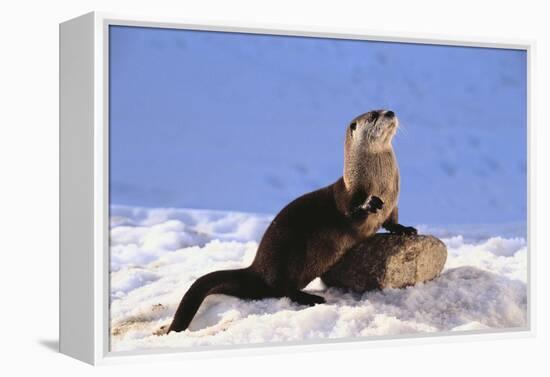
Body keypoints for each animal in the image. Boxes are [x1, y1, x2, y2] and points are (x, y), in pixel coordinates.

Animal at [168, 108, 418, 332]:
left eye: (384, 108)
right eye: (374, 114)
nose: (390, 112)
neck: (380, 183)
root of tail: (256, 268)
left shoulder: (393, 204)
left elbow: (392, 221)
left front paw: (405, 229)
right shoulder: (348, 197)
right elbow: (351, 212)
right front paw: (369, 204)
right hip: (290, 255)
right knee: (282, 289)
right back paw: (310, 298)